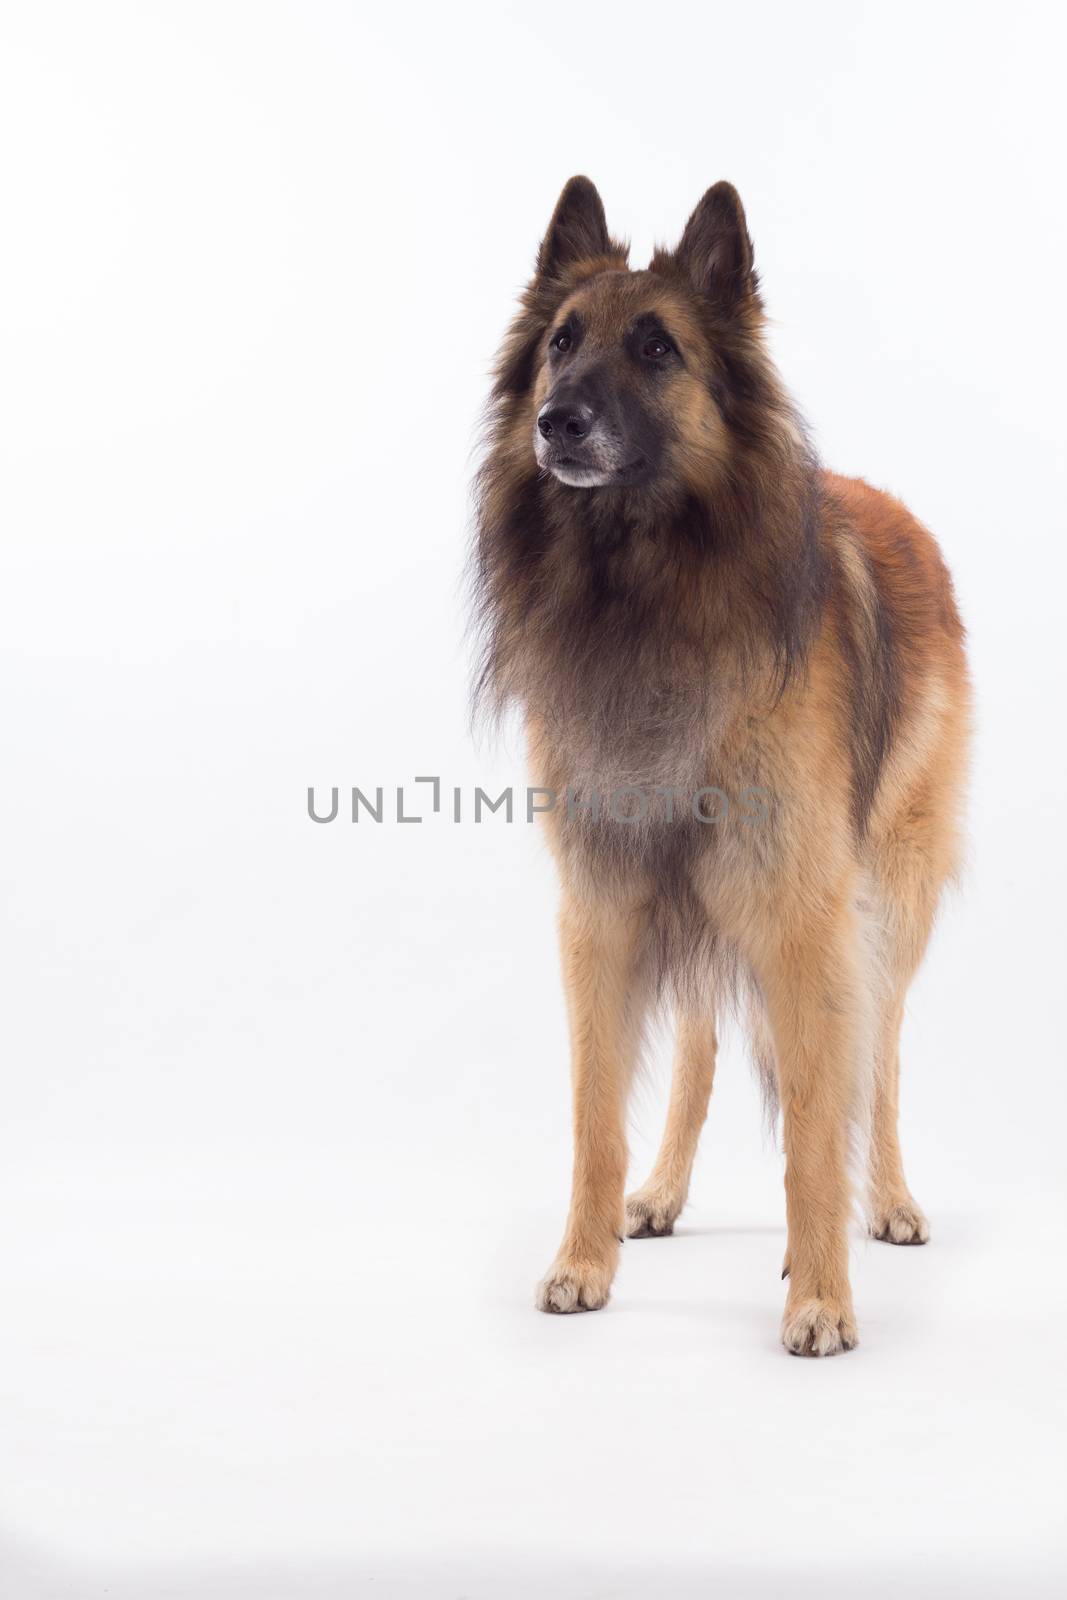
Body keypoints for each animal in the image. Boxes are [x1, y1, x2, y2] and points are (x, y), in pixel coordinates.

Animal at [470, 172, 972, 1350]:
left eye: (657, 348)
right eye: (560, 343)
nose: (558, 422)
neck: (646, 589)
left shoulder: (802, 914)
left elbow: (818, 1116)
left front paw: (820, 1292)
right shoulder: (604, 907)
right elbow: (595, 1114)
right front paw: (584, 1257)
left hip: (883, 900)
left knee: (875, 1064)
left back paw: (882, 1201)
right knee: (699, 1049)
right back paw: (658, 1192)